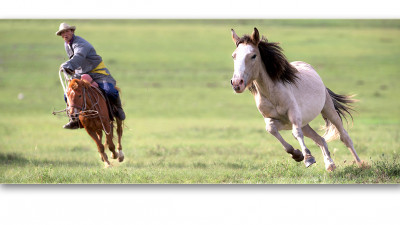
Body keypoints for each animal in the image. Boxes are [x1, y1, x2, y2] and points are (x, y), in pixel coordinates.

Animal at [230, 27, 364, 171]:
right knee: (320, 140)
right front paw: (297, 155)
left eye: (253, 56)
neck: (272, 93)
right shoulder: (276, 120)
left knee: (344, 137)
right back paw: (330, 165)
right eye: (234, 56)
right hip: (305, 123)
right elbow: (271, 129)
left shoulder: (293, 115)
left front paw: (308, 158)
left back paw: (361, 164)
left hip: (328, 109)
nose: (237, 83)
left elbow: (296, 133)